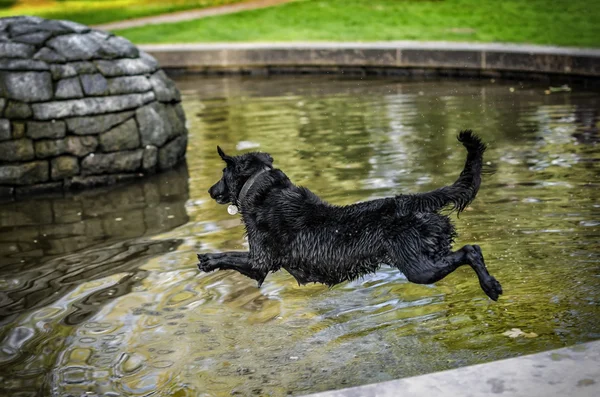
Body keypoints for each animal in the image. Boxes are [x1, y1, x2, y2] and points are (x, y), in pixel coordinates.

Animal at [197, 131, 502, 298]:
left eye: (222, 173)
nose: (211, 190)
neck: (263, 186)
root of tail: (411, 201)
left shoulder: (260, 261)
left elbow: (232, 256)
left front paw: (209, 260)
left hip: (419, 267)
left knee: (470, 251)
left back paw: (490, 287)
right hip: (429, 251)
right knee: (473, 249)